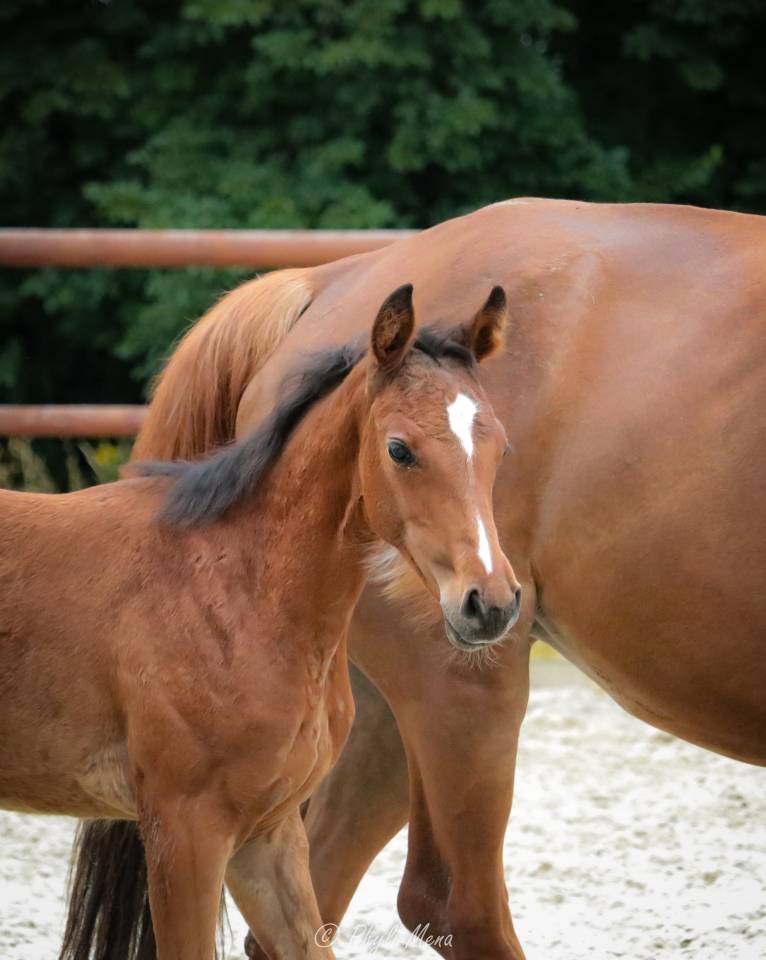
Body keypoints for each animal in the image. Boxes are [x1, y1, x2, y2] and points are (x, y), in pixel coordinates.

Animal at [0, 285, 520, 960]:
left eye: (500, 446)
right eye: (399, 449)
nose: (491, 602)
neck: (239, 591)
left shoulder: (267, 836)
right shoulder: (184, 830)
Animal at [68, 197, 766, 960]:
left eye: (497, 448)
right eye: (399, 450)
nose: (491, 601)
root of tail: (330, 278)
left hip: (371, 716)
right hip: (456, 693)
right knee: (455, 906)